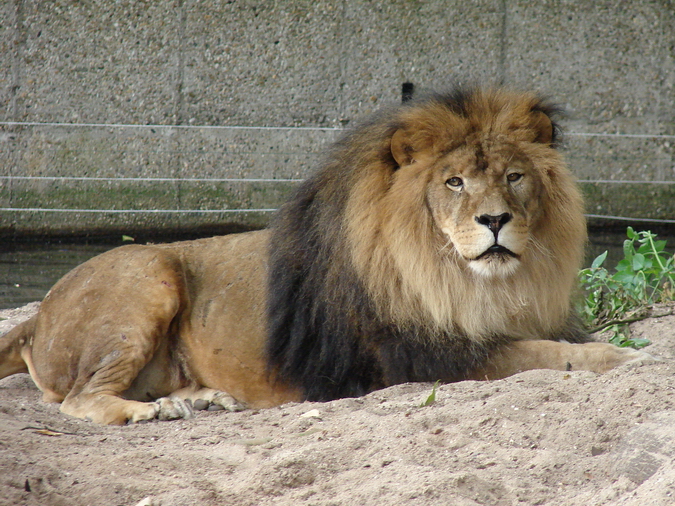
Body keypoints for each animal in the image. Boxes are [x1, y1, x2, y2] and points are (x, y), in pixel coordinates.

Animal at [0, 87, 652, 424]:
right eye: (455, 183)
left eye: (515, 177)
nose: (495, 220)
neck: (474, 283)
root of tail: (37, 316)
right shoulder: (425, 356)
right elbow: (547, 355)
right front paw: (623, 359)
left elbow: (562, 344)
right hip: (146, 271)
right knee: (79, 399)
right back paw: (151, 413)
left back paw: (201, 399)